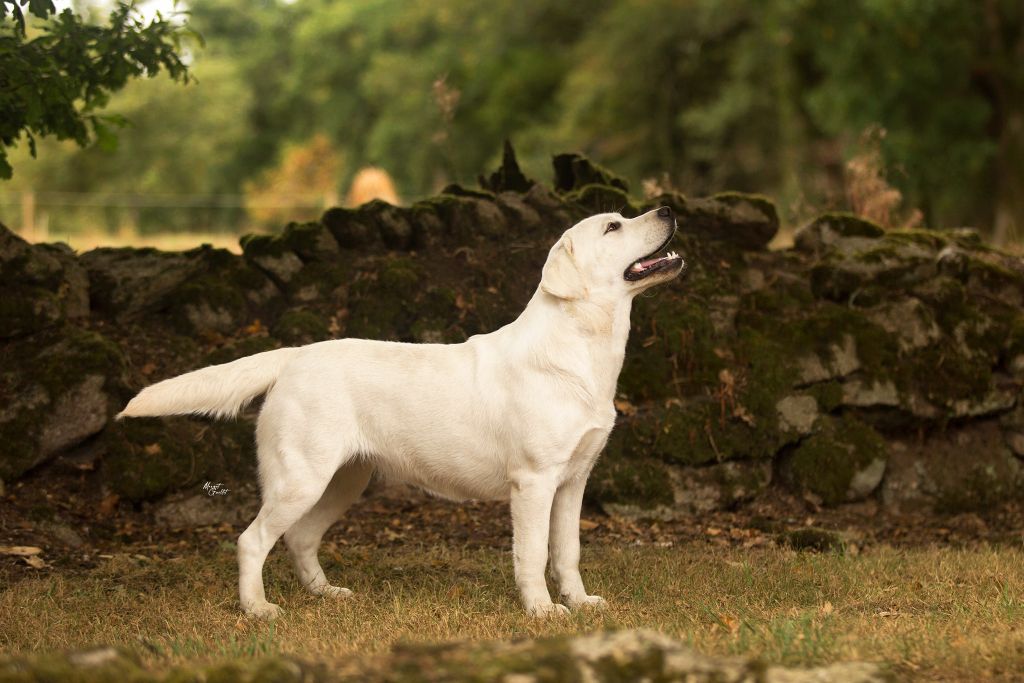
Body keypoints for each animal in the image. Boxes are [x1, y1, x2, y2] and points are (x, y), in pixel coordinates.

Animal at [119, 206, 684, 618]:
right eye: (614, 226)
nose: (668, 208)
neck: (581, 348)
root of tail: (294, 355)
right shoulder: (534, 482)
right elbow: (533, 554)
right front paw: (542, 613)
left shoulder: (573, 482)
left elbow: (567, 553)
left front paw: (581, 603)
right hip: (300, 478)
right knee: (251, 539)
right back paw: (257, 609)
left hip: (342, 480)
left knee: (300, 537)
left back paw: (326, 595)